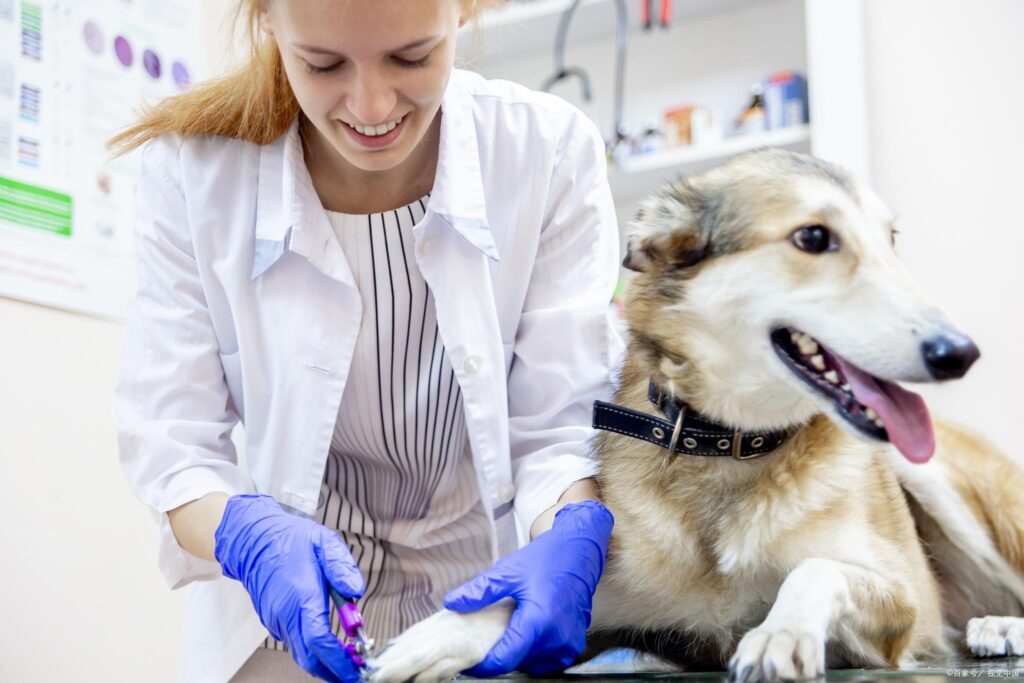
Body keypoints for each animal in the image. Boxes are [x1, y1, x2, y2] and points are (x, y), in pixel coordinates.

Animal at [368, 147, 1024, 679]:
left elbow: (816, 569)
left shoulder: (900, 604)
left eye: (890, 241)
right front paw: (434, 636)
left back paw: (1000, 626)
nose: (960, 353)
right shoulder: (608, 608)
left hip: (937, 479)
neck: (729, 445)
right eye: (814, 238)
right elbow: (527, 597)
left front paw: (780, 632)